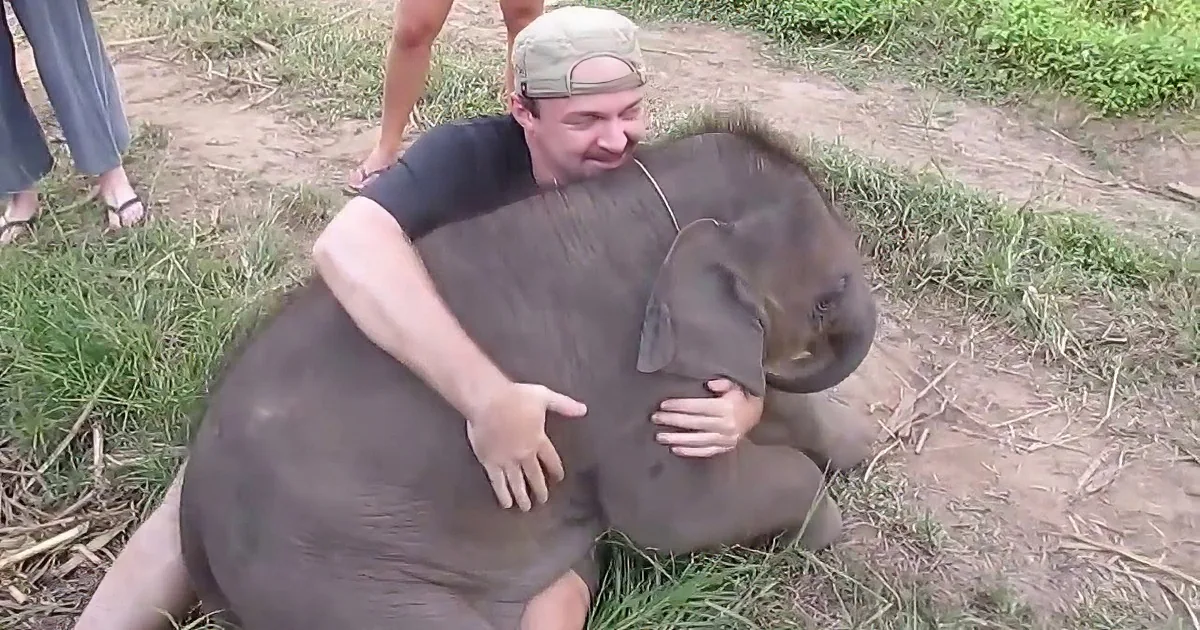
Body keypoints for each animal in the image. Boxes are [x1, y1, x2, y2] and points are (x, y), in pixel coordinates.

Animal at [177, 108, 879, 630]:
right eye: (827, 297)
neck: (655, 191)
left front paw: (850, 449)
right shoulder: (630, 382)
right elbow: (674, 515)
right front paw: (824, 532)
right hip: (332, 578)